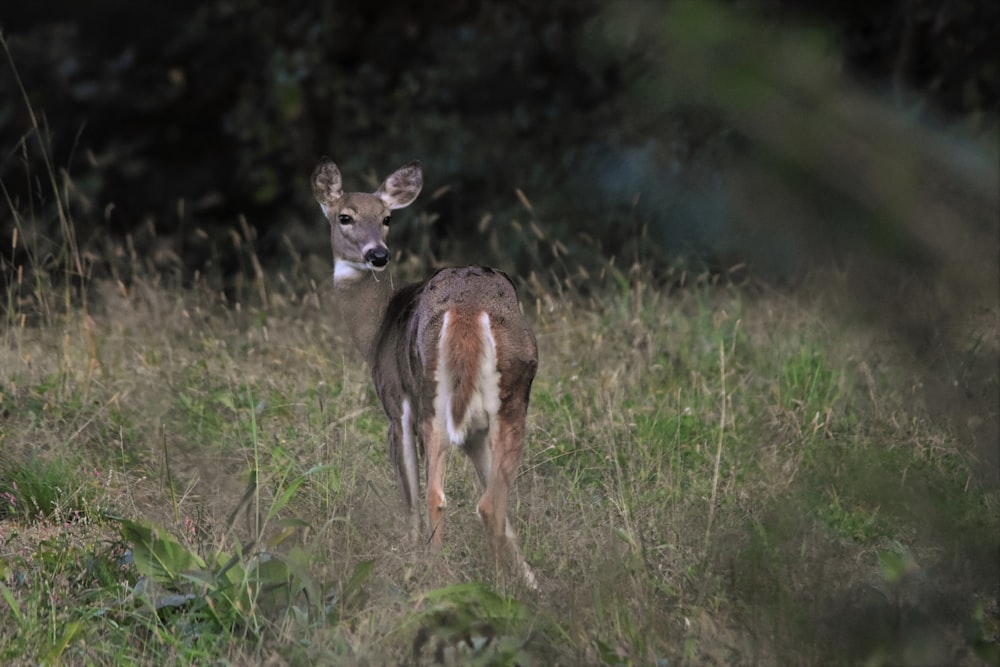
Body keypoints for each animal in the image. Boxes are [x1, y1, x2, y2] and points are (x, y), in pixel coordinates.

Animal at [312, 157, 540, 588]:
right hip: (510, 399)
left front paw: (411, 556)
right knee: (494, 502)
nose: (378, 254)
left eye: (386, 217)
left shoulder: (395, 404)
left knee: (439, 495)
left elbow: (410, 492)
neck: (377, 328)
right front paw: (528, 575)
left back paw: (439, 577)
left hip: (431, 397)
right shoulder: (475, 432)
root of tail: (468, 310)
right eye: (345, 216)